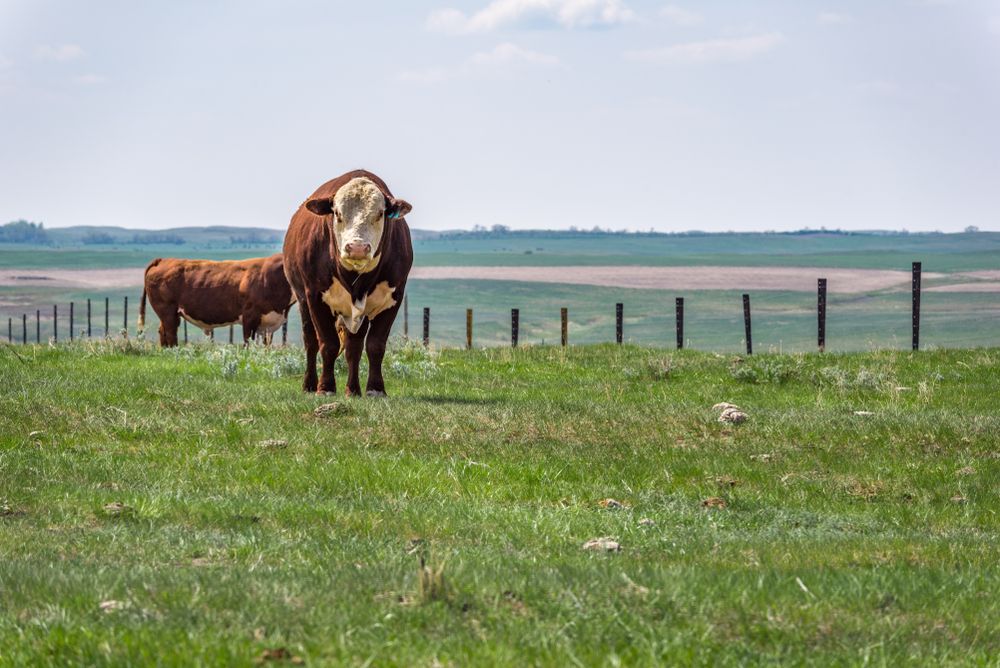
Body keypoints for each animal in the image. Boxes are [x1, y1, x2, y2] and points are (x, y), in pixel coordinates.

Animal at [138, 254, 295, 347]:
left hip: (170, 314)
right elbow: (247, 342)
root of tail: (163, 260)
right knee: (170, 334)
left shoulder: (270, 322)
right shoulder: (249, 316)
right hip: (167, 311)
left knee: (163, 331)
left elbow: (266, 345)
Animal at [283, 169, 413, 396]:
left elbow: (375, 345)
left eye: (380, 213)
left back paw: (353, 390)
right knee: (311, 341)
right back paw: (309, 384)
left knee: (354, 347)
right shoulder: (315, 296)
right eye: (337, 213)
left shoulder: (393, 299)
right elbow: (328, 344)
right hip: (302, 300)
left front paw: (375, 389)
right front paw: (325, 388)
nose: (357, 248)